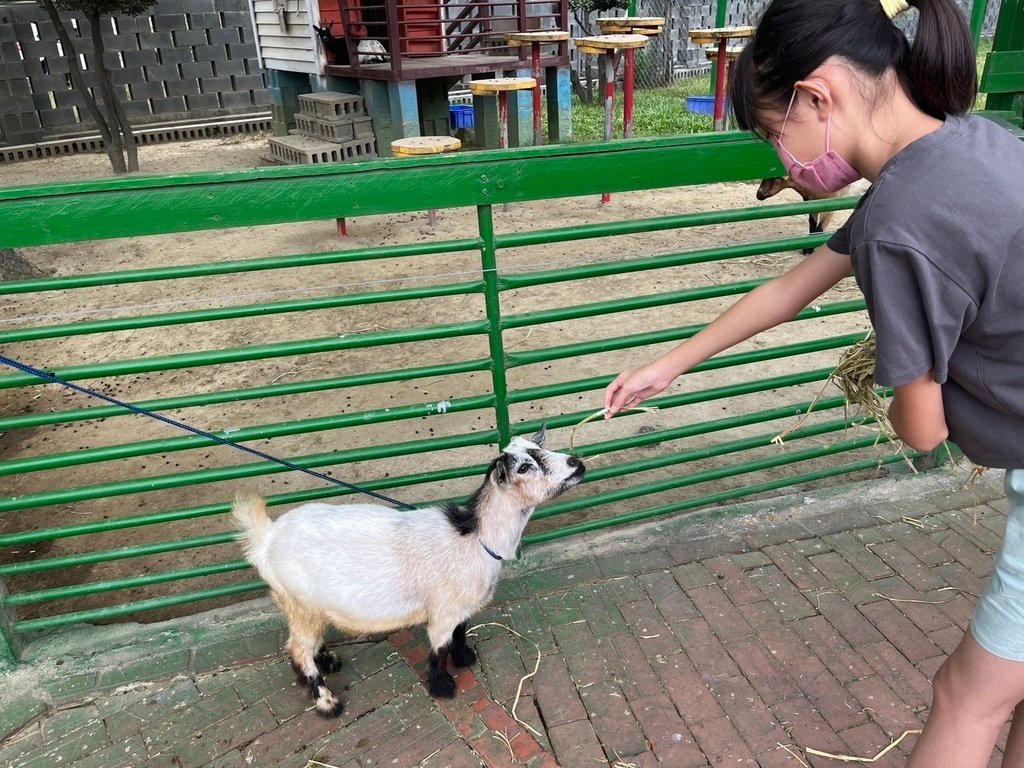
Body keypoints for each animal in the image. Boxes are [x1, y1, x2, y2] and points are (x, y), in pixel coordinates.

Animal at [232, 430, 585, 720]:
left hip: (306, 606)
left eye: (540, 447)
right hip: (299, 603)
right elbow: (439, 648)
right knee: (297, 649)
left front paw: (464, 656)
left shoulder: (459, 608)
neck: (474, 537)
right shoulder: (442, 611)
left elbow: (460, 631)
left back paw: (328, 661)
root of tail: (266, 538)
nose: (576, 463)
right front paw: (443, 686)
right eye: (524, 467)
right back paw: (327, 702)